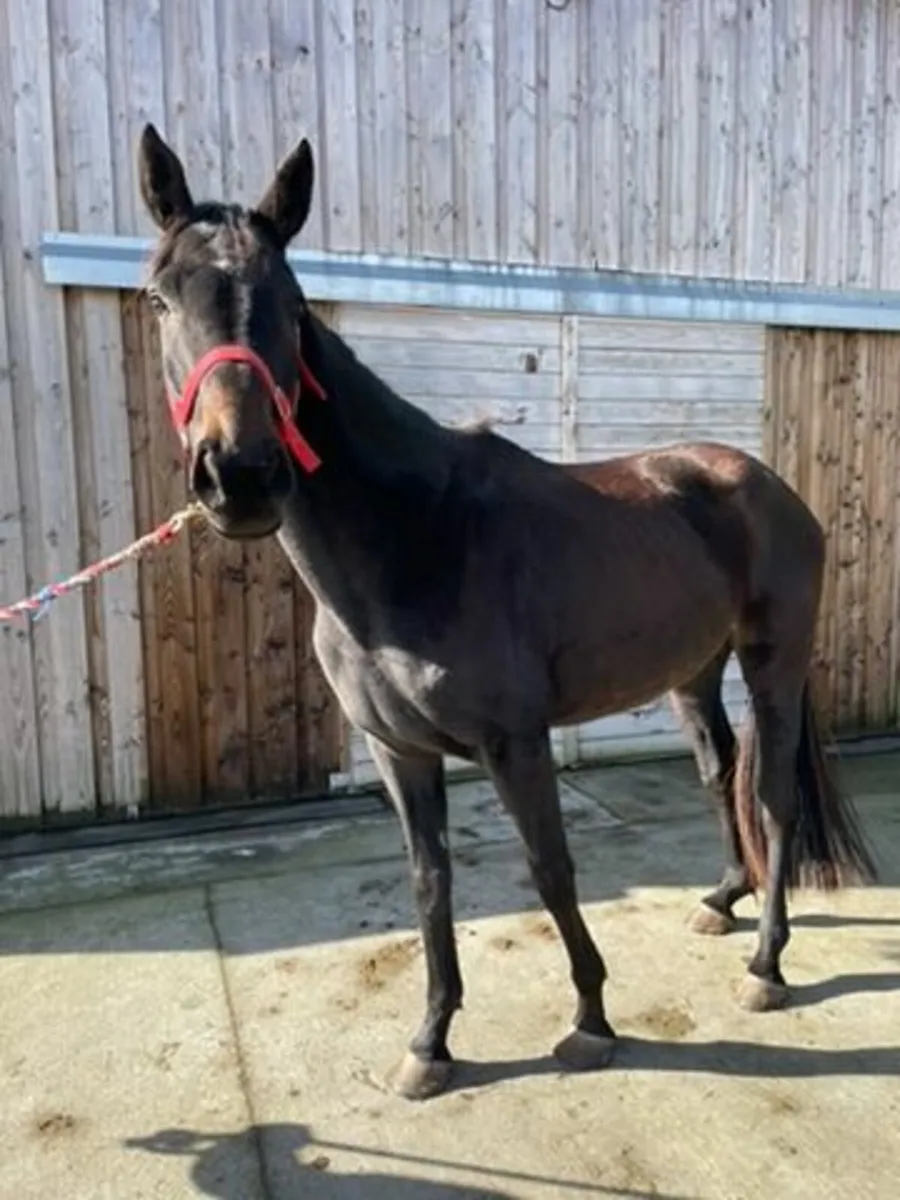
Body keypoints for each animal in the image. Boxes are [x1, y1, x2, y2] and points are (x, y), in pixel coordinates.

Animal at [135, 124, 877, 1101]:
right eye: (158, 298)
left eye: (290, 305)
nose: (242, 475)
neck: (415, 537)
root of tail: (767, 484)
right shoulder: (397, 751)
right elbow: (430, 884)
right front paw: (431, 1041)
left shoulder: (514, 744)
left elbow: (550, 871)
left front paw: (591, 1019)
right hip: (692, 672)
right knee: (720, 773)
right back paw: (722, 901)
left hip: (773, 660)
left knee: (773, 795)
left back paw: (766, 963)